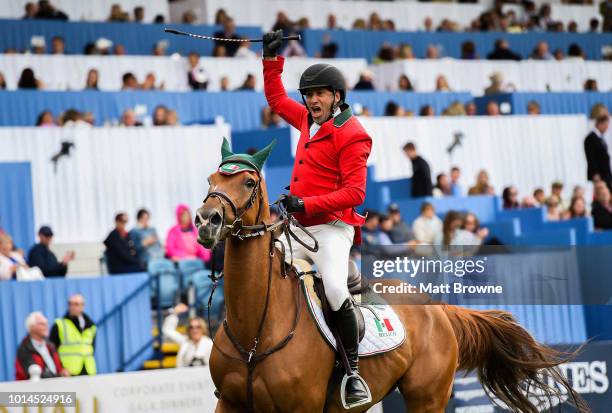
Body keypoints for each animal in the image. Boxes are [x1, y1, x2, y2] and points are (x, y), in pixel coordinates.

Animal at [196, 165, 588, 412]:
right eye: (210, 179)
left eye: (249, 183)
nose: (206, 220)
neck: (257, 329)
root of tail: (438, 307)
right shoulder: (228, 403)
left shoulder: (300, 407)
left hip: (427, 397)